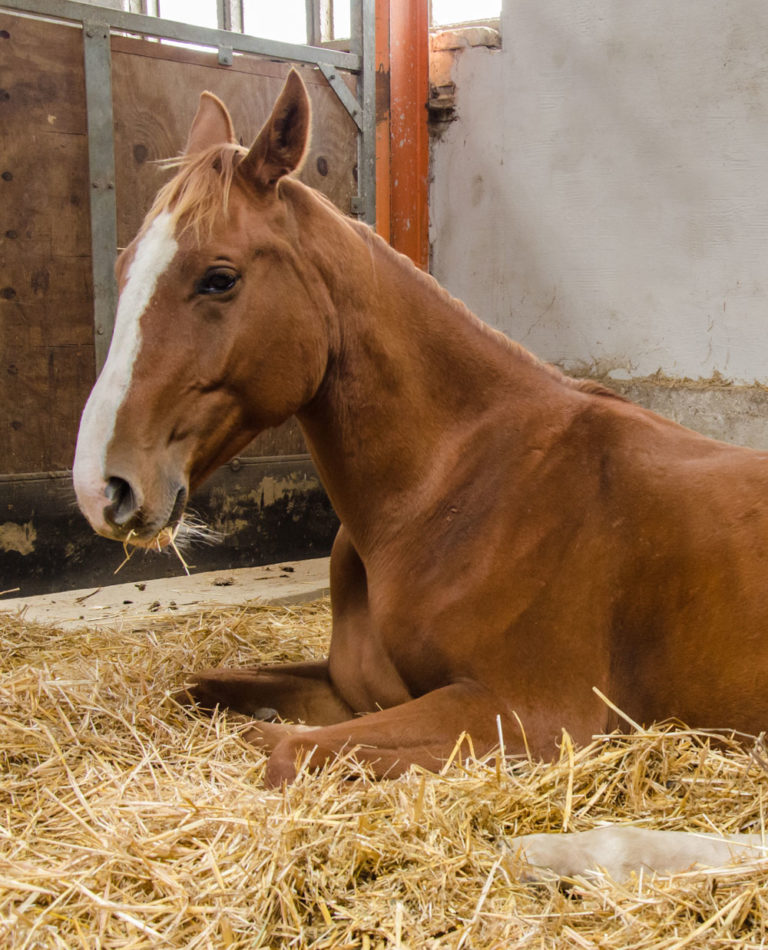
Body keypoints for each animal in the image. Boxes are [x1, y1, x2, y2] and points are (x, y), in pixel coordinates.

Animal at [74, 70, 768, 806]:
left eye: (220, 277)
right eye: (123, 268)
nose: (101, 488)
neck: (450, 491)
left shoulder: (529, 714)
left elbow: (285, 748)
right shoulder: (351, 686)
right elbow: (205, 691)